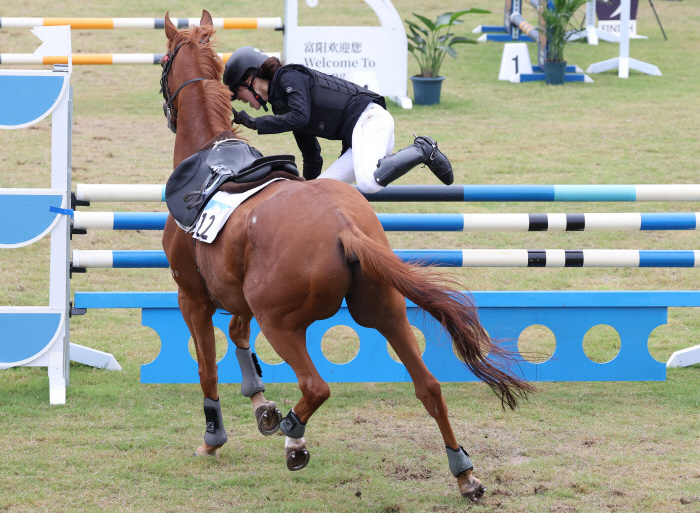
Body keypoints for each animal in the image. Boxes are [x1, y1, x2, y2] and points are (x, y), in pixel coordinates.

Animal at [159, 11, 532, 500]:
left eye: (163, 59)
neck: (208, 153)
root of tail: (345, 228)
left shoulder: (193, 298)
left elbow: (207, 369)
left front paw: (215, 437)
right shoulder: (239, 297)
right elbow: (239, 335)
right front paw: (260, 403)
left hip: (283, 322)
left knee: (316, 387)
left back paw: (294, 436)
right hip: (384, 310)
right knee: (429, 387)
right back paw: (463, 472)